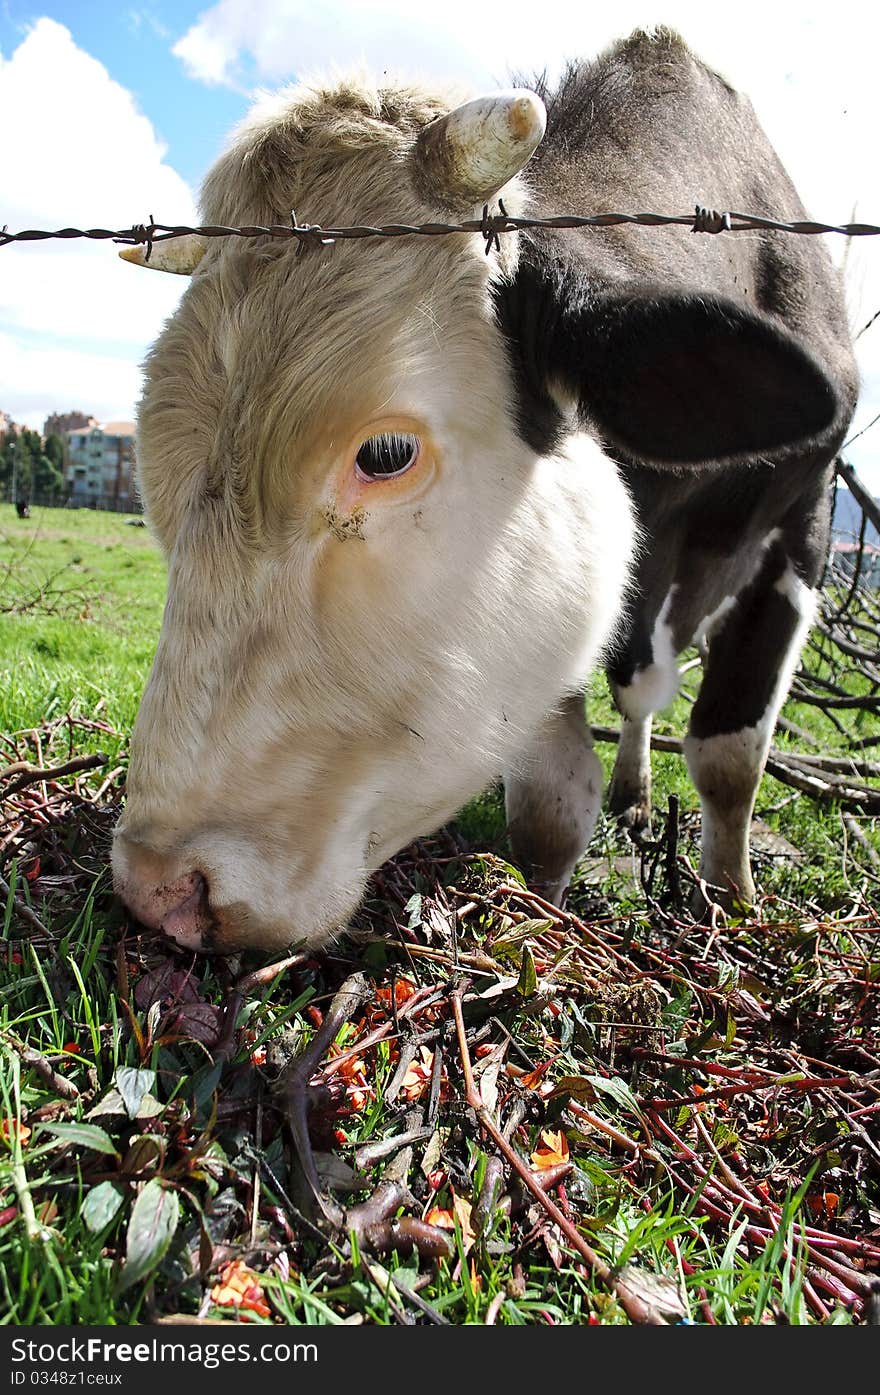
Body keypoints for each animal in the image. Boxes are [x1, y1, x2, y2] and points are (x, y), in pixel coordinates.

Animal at [111, 27, 859, 954]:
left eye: (386, 453)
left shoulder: (806, 518)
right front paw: (545, 906)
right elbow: (551, 802)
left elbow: (728, 753)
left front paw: (730, 906)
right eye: (159, 473)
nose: (160, 885)